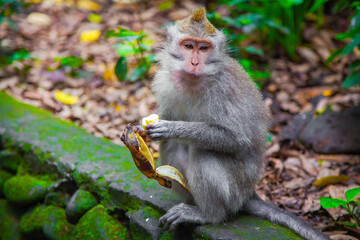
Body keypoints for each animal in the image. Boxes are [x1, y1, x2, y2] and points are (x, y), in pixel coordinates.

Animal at [143, 7, 330, 240]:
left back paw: (207, 214)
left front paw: (172, 128)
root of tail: (249, 193)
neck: (193, 80)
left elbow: (235, 139)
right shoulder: (164, 81)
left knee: (204, 152)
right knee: (172, 145)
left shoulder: (223, 90)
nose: (195, 62)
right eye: (188, 46)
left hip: (235, 191)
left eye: (204, 48)